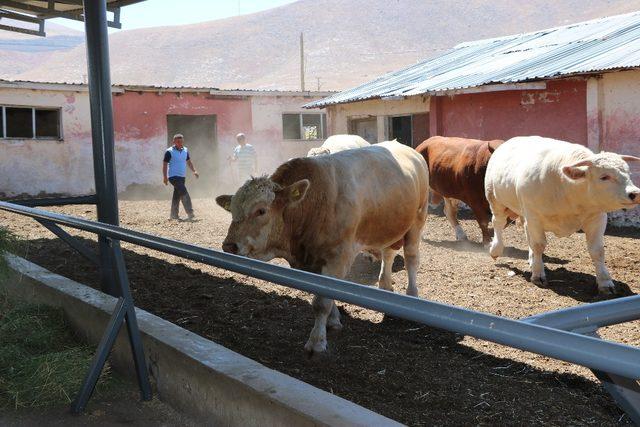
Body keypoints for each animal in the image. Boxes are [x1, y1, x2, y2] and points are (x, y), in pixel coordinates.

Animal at [216, 142, 430, 356]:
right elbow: (324, 292)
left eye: (261, 210)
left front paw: (317, 341)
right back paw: (385, 286)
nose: (229, 245)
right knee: (388, 253)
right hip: (389, 225)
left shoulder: (338, 257)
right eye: (232, 210)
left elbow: (322, 302)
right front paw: (333, 321)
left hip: (417, 221)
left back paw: (412, 294)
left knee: (411, 259)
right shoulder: (310, 263)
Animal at [484, 137, 640, 294]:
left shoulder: (597, 218)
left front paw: (605, 281)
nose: (635, 193)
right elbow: (538, 245)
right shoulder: (534, 217)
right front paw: (538, 274)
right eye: (604, 177)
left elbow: (598, 250)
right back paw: (495, 249)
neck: (567, 189)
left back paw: (532, 260)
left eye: (628, 173)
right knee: (498, 223)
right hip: (495, 199)